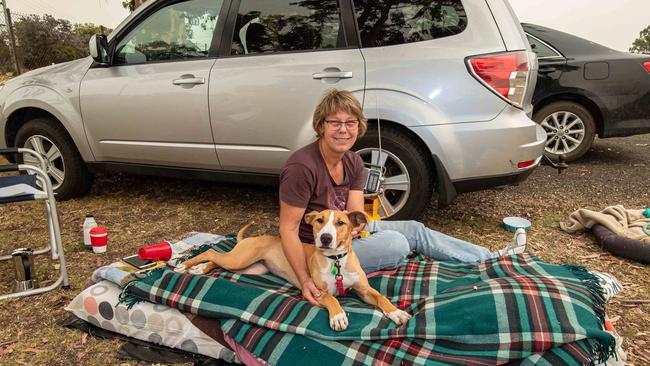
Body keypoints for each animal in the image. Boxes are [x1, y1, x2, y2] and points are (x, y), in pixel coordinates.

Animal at [175, 209, 408, 332]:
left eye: (341, 223)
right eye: (319, 220)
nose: (325, 238)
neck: (336, 261)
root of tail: (250, 239)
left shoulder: (364, 290)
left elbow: (381, 298)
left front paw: (396, 312)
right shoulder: (317, 291)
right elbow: (332, 298)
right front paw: (339, 316)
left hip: (251, 267)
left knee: (217, 260)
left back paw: (199, 268)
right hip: (240, 259)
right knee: (212, 252)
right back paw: (186, 264)